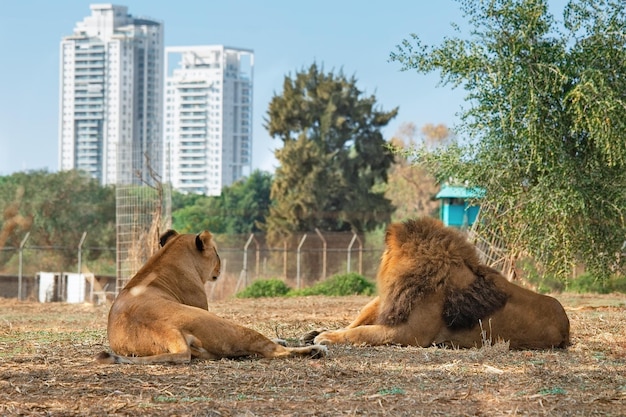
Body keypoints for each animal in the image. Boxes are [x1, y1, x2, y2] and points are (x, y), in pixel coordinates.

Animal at [96, 229, 326, 362]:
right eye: (216, 253)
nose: (220, 267)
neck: (166, 258)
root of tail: (168, 331)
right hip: (225, 325)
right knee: (272, 351)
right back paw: (315, 350)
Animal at [310, 216, 564, 350]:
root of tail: (567, 325)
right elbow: (357, 327)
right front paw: (322, 333)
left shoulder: (410, 334)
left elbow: (362, 333)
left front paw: (327, 337)